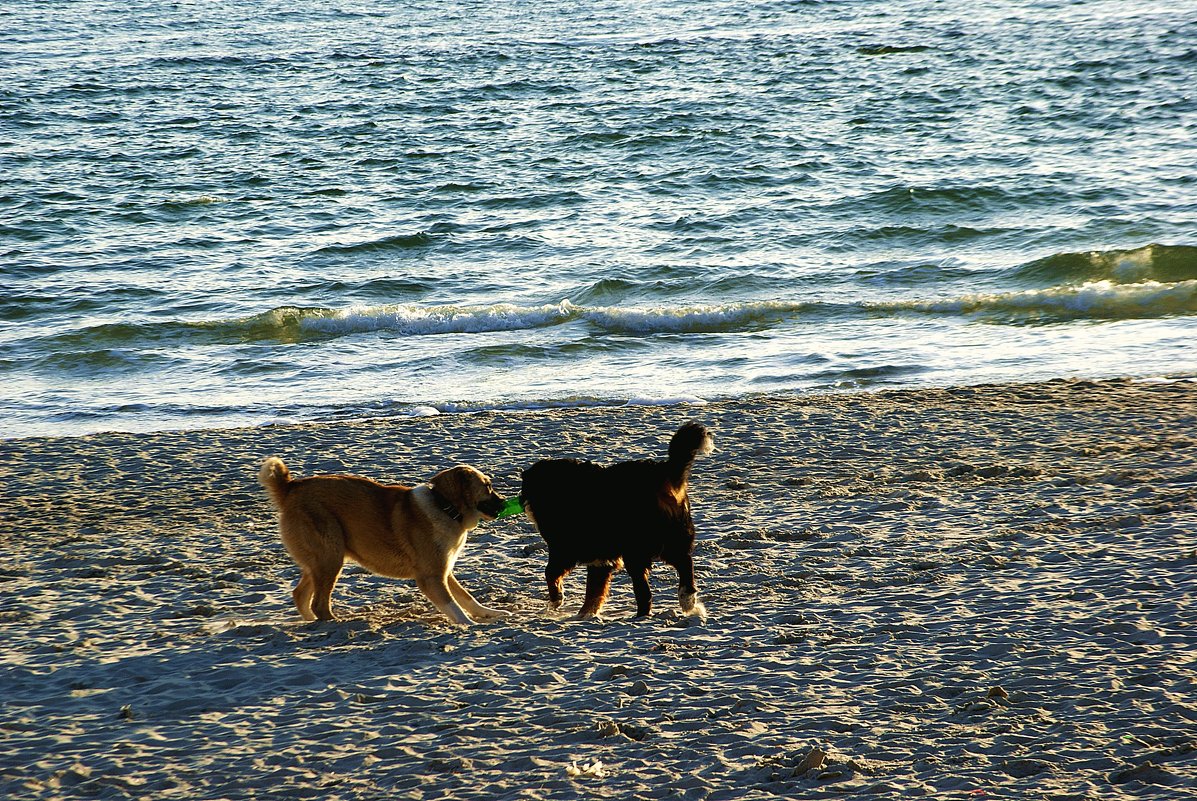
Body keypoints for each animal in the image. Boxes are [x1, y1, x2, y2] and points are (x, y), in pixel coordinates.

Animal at [259, 454, 507, 622]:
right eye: (487, 486)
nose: (506, 503)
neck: (445, 506)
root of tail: (290, 488)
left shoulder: (444, 571)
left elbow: (467, 598)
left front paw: (489, 613)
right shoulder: (431, 577)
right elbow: (453, 605)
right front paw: (469, 625)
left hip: (322, 560)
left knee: (301, 595)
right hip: (330, 557)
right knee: (318, 604)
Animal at [521, 423, 708, 617]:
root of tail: (662, 472)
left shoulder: (564, 549)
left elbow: (550, 573)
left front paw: (557, 598)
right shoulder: (599, 560)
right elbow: (593, 592)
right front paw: (585, 615)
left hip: (636, 550)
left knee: (645, 591)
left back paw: (644, 614)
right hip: (671, 540)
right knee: (684, 563)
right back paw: (687, 600)